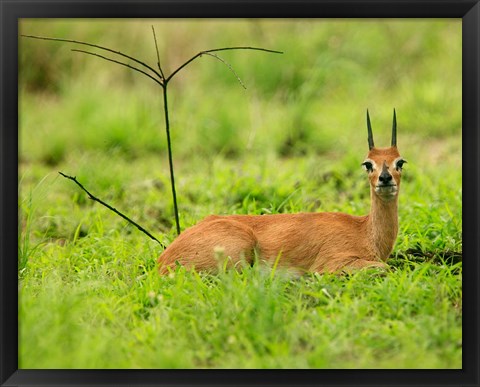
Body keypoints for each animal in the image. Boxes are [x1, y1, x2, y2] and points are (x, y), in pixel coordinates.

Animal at [158, 110, 404, 276]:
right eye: (367, 164)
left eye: (399, 162)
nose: (385, 178)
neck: (365, 232)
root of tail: (163, 260)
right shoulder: (330, 264)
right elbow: (385, 267)